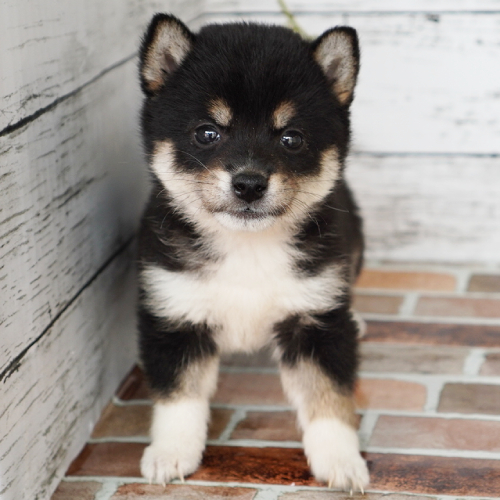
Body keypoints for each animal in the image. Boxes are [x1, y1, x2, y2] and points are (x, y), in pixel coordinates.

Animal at [136, 13, 368, 490]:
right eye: (207, 132)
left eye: (291, 138)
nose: (248, 184)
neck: (246, 247)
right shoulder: (175, 314)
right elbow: (178, 399)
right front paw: (171, 453)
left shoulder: (314, 320)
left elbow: (329, 398)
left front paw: (341, 460)